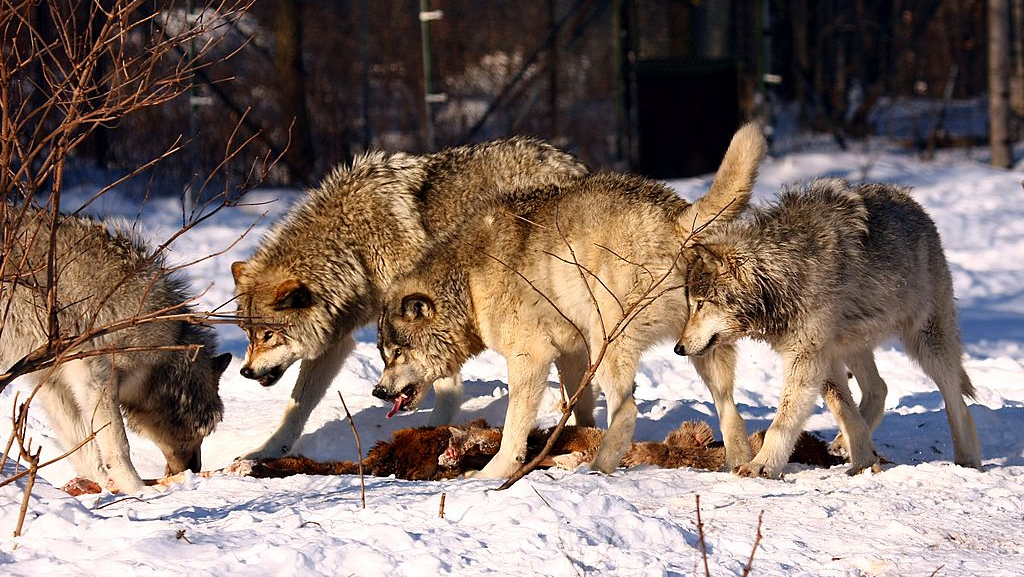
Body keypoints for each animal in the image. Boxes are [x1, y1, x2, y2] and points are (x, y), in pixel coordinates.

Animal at [1, 208, 230, 491]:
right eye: (202, 431)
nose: (194, 470)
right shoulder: (94, 377)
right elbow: (119, 446)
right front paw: (140, 491)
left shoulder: (52, 384)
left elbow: (83, 448)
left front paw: (103, 488)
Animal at [229, 136, 589, 461]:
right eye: (248, 334)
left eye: (269, 335)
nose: (245, 371)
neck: (353, 247)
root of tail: (575, 165)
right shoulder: (337, 338)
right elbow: (296, 405)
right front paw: (267, 450)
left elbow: (443, 384)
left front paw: (432, 433)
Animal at [372, 122, 765, 479]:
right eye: (384, 355)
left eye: (397, 353)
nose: (378, 391)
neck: (467, 282)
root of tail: (676, 218)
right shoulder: (572, 353)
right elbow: (582, 410)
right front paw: (575, 436)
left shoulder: (530, 358)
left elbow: (513, 431)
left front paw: (492, 473)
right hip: (699, 346)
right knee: (730, 411)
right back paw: (735, 465)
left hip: (610, 344)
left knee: (627, 411)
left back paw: (597, 467)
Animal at [675, 179, 978, 479]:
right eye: (690, 305)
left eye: (700, 304)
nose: (678, 348)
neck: (782, 271)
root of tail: (911, 200)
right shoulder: (823, 357)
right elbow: (846, 411)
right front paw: (863, 462)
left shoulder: (806, 357)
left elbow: (781, 423)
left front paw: (761, 465)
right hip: (852, 345)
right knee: (879, 388)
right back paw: (846, 443)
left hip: (927, 342)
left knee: (957, 402)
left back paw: (968, 460)